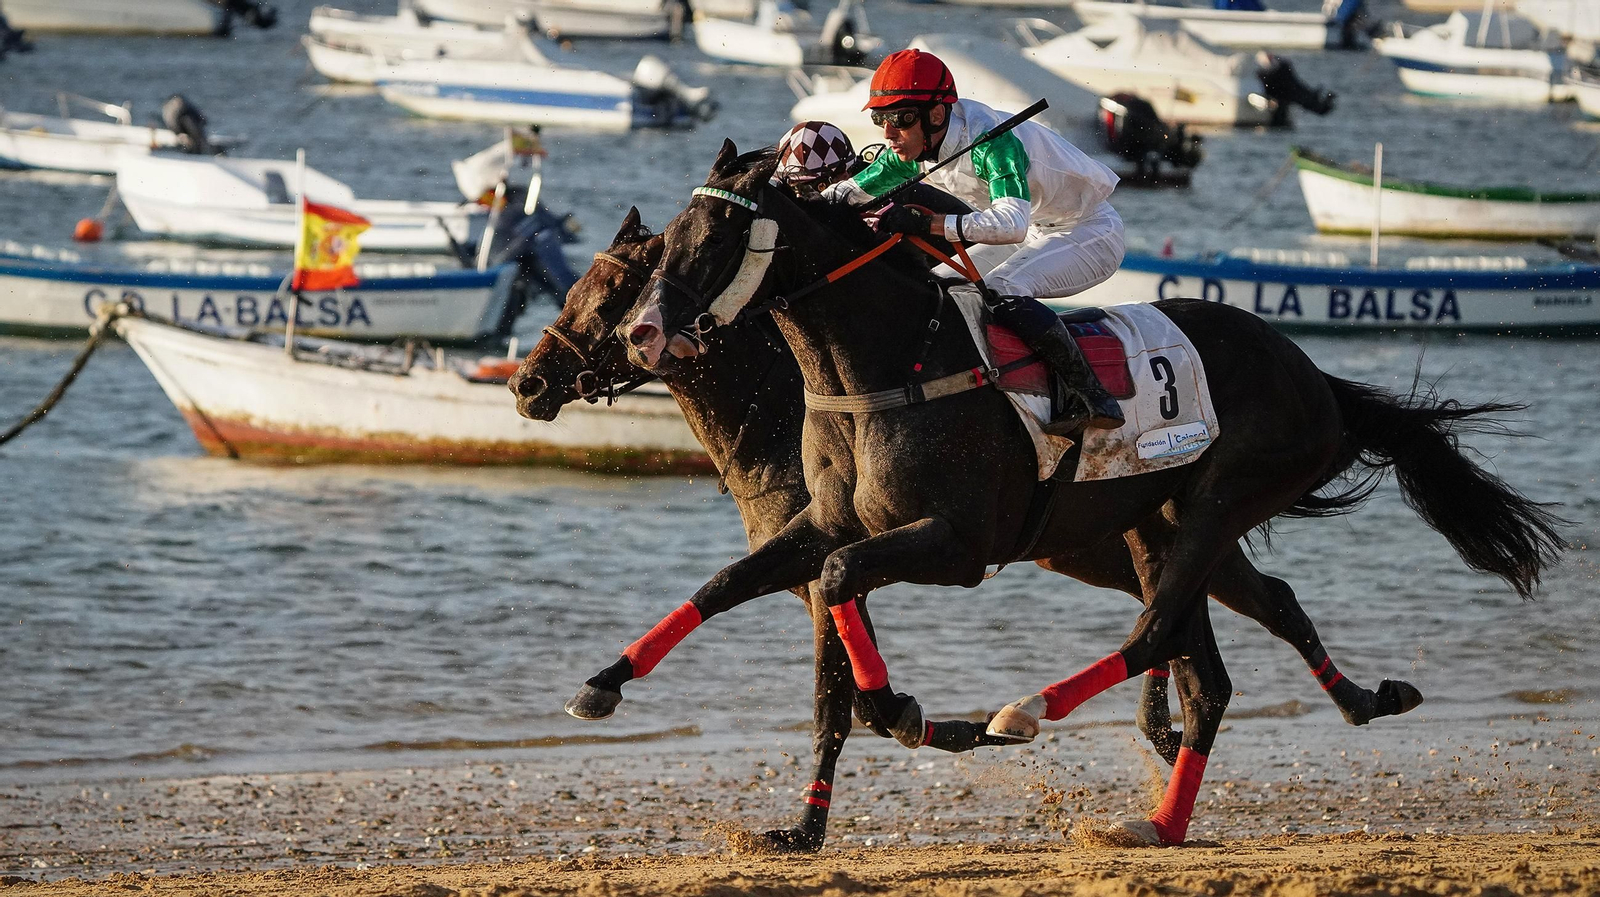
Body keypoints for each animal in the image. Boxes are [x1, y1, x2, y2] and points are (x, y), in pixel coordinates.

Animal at [606, 140, 1566, 846]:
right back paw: (1200, 796)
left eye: (715, 240)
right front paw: (605, 680)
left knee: (1156, 636)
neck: (886, 366)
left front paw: (912, 712)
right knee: (1224, 655)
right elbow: (732, 586)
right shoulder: (825, 522)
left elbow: (843, 598)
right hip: (1162, 526)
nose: (642, 334)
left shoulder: (958, 543)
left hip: (1217, 505)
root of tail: (1314, 376)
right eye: (664, 239)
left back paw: (1025, 714)